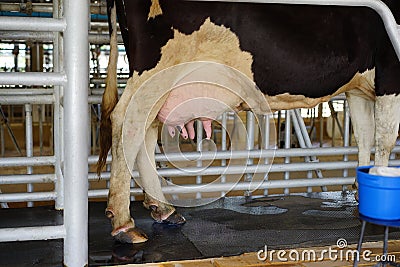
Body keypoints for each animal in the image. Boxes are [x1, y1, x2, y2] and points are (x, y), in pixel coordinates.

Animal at [97, 0, 400, 244]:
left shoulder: (359, 88)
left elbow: (365, 136)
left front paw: (363, 190)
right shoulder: (390, 75)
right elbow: (385, 139)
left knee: (145, 131)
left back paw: (162, 208)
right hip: (156, 69)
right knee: (128, 121)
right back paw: (124, 223)